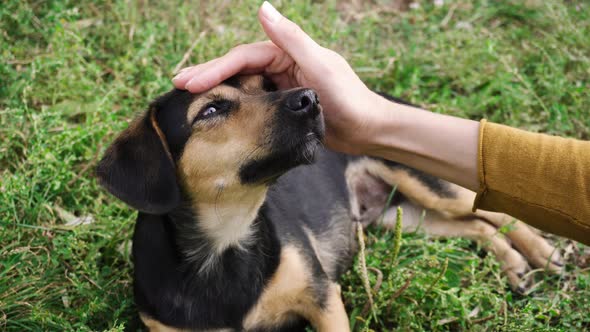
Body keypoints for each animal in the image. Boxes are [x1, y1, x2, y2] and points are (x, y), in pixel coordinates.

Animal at [97, 75, 564, 332]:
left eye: (266, 87)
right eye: (211, 109)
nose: (310, 97)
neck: (226, 243)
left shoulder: (323, 299)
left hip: (427, 184)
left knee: (494, 208)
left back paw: (542, 253)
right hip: (404, 217)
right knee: (478, 226)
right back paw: (514, 264)